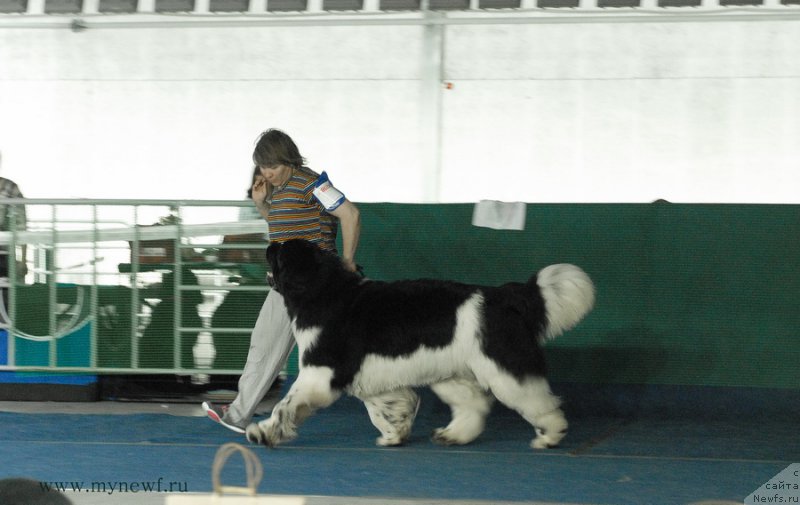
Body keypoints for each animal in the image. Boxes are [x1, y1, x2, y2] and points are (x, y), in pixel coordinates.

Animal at [248, 239, 592, 448]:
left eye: (281, 254)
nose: (270, 244)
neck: (323, 291)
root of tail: (503, 296)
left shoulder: (319, 375)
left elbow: (284, 405)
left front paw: (262, 432)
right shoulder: (373, 380)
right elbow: (388, 409)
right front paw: (394, 435)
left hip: (504, 369)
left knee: (537, 401)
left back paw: (551, 435)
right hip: (451, 374)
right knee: (475, 405)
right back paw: (453, 435)